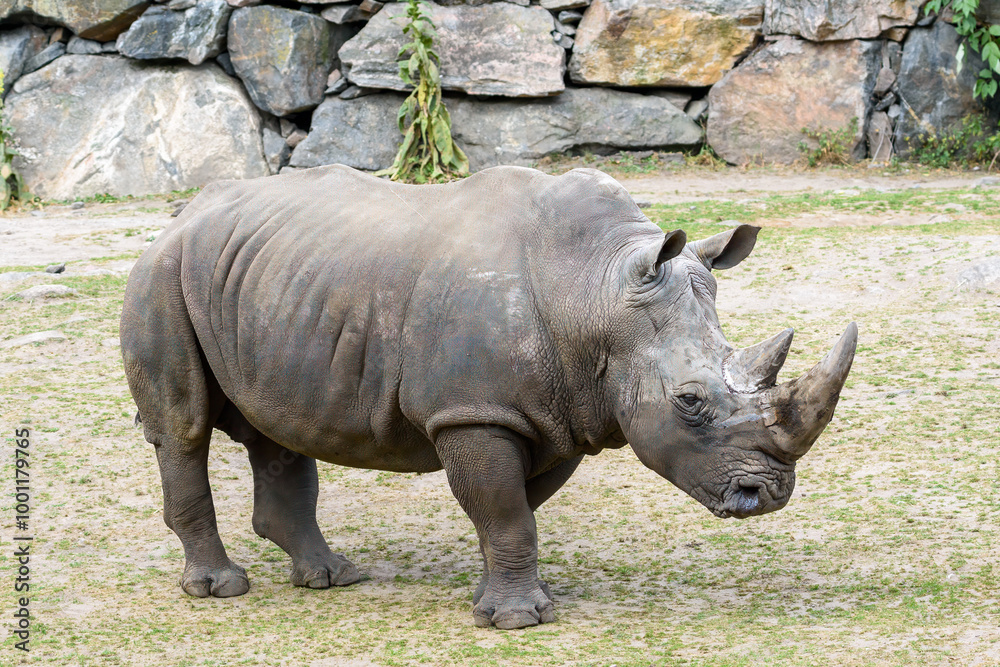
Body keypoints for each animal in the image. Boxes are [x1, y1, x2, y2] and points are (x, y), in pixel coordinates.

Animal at [121, 165, 856, 630]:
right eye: (690, 402)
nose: (767, 495)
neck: (595, 290)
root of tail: (184, 214)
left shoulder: (558, 413)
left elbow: (515, 508)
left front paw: (502, 598)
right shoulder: (475, 412)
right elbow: (505, 512)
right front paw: (518, 621)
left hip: (268, 282)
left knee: (279, 425)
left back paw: (332, 575)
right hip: (162, 276)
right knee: (183, 428)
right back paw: (220, 588)